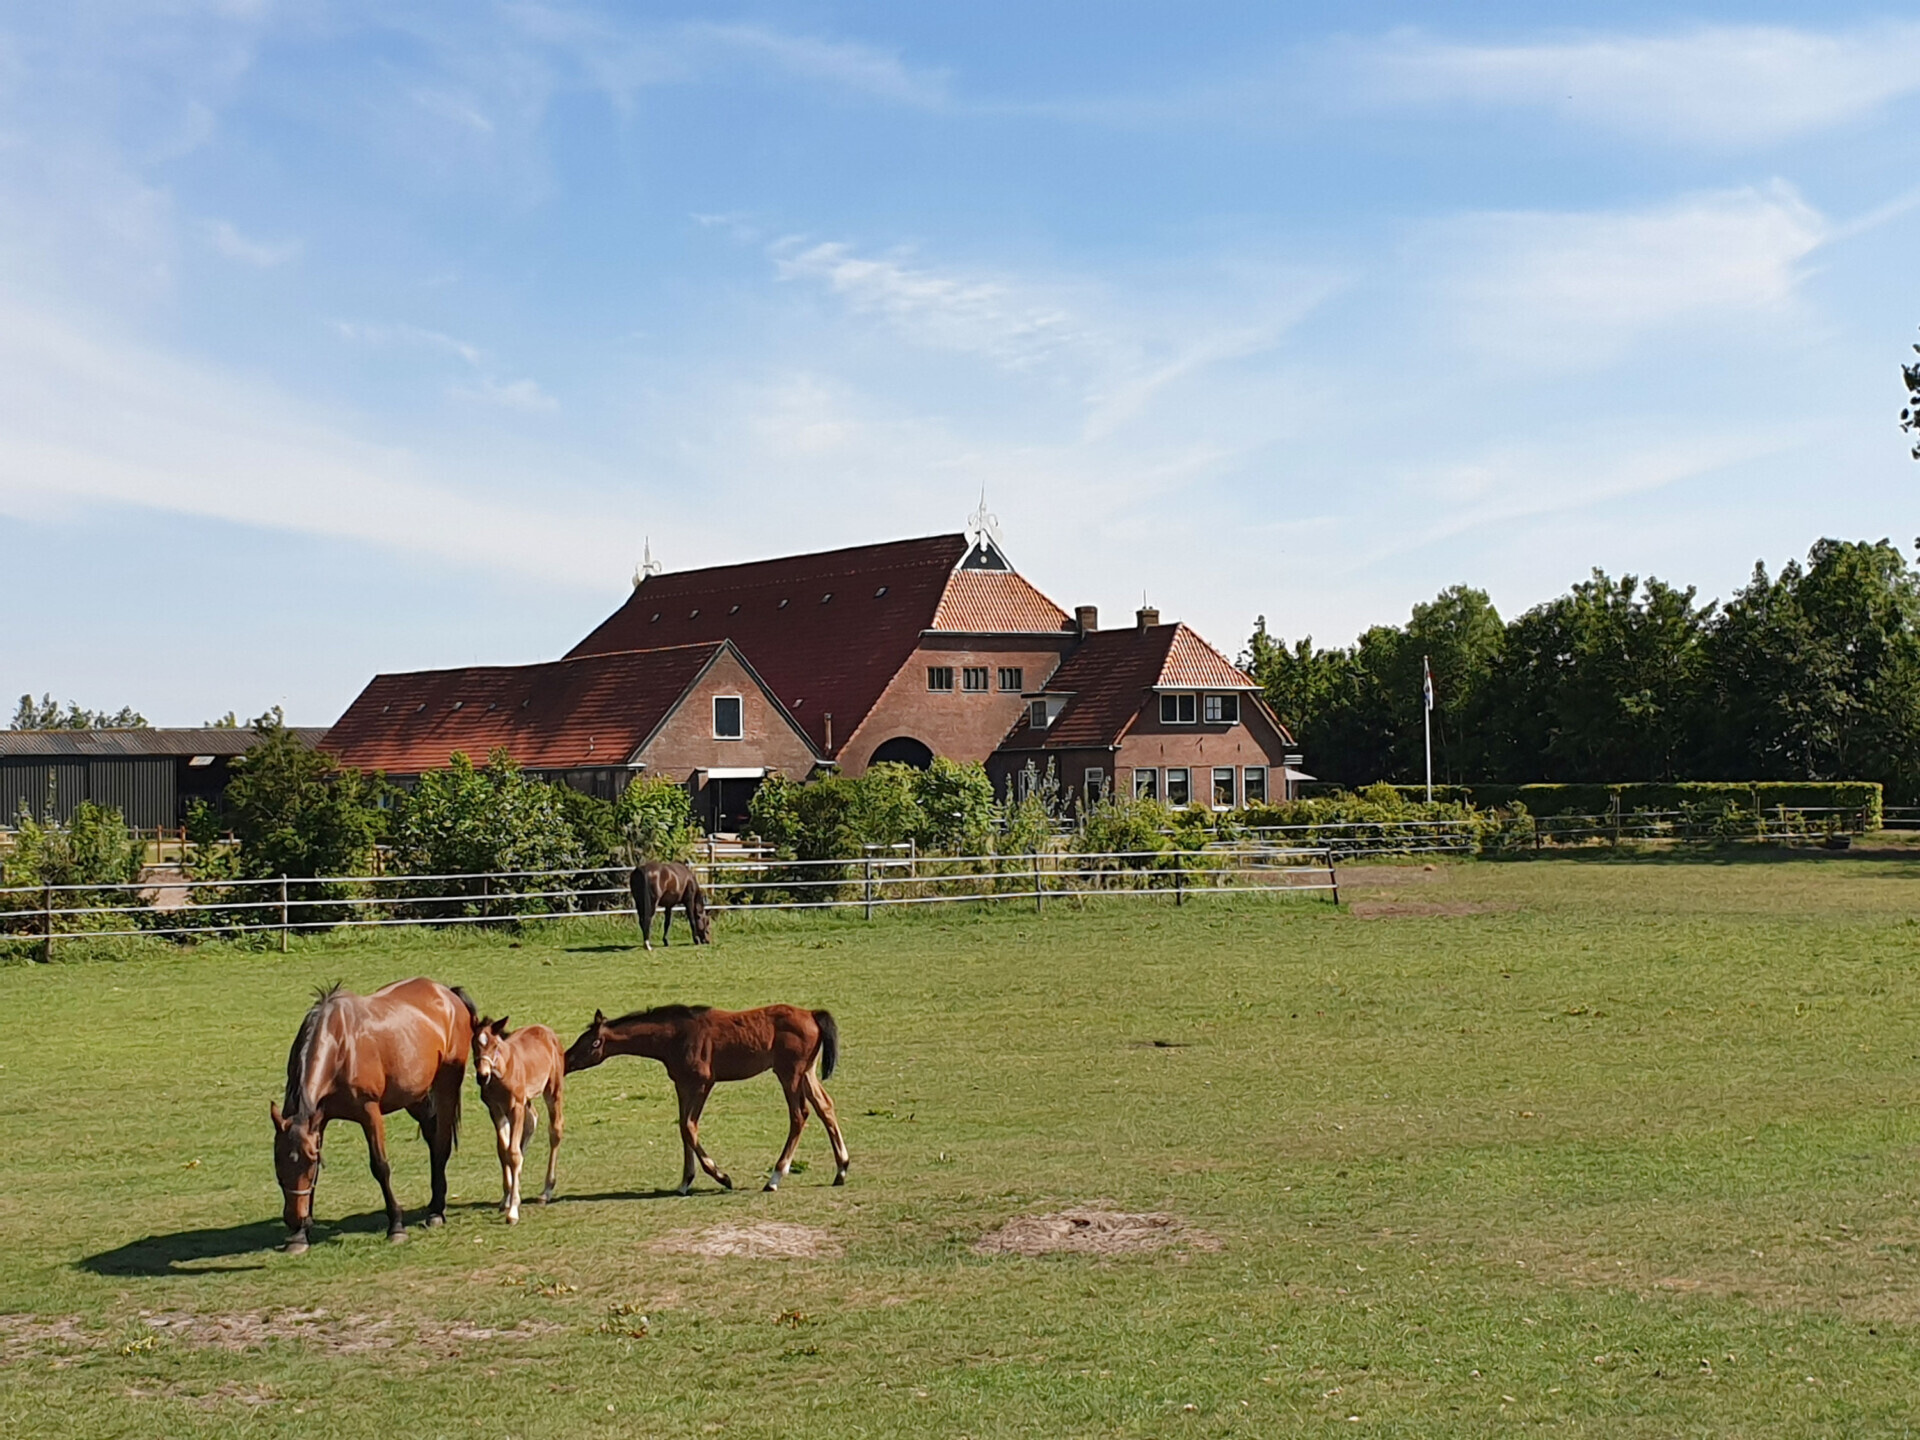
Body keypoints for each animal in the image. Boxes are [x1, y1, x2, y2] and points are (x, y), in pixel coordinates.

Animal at [268, 977, 475, 1253]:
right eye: (278, 1161)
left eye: (307, 1164)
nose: (294, 1218)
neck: (340, 1046)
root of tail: (447, 993)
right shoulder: (318, 1121)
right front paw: (300, 1236)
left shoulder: (370, 1113)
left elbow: (380, 1167)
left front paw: (396, 1226)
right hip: (415, 1095)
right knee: (433, 1138)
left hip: (445, 1085)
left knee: (441, 1143)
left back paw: (436, 1213)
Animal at [471, 1016, 565, 1223]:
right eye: (473, 1045)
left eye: (495, 1045)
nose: (482, 1076)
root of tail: (546, 1030)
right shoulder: (495, 1109)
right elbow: (503, 1151)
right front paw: (507, 1197)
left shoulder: (515, 1107)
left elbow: (513, 1154)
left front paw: (513, 1210)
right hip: (527, 1099)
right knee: (532, 1121)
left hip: (552, 1089)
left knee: (555, 1130)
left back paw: (546, 1191)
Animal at [564, 1003, 847, 1194]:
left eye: (593, 1043)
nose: (565, 1061)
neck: (675, 1036)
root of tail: (812, 1014)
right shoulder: (683, 1085)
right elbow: (683, 1128)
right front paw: (685, 1181)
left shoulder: (702, 1083)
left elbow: (690, 1127)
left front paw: (722, 1176)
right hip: (807, 1072)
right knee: (825, 1107)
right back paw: (841, 1169)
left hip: (789, 1074)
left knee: (799, 1115)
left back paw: (775, 1178)